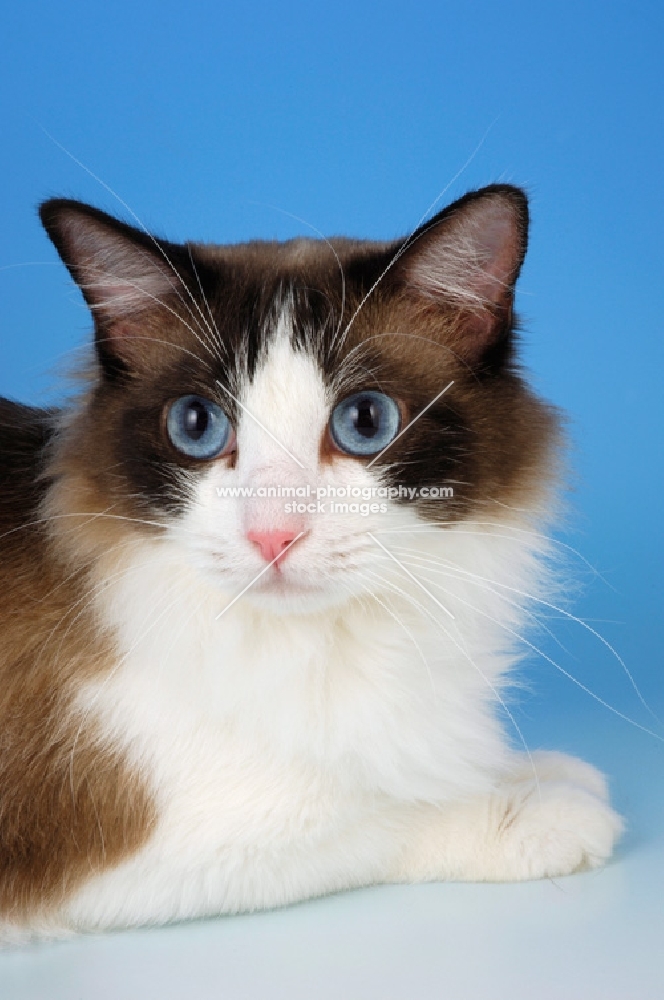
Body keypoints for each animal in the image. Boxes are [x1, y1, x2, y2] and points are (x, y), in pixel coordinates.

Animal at [0, 184, 624, 940]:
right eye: (196, 425)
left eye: (365, 422)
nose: (274, 536)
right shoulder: (132, 851)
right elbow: (380, 813)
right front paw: (545, 808)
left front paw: (531, 769)